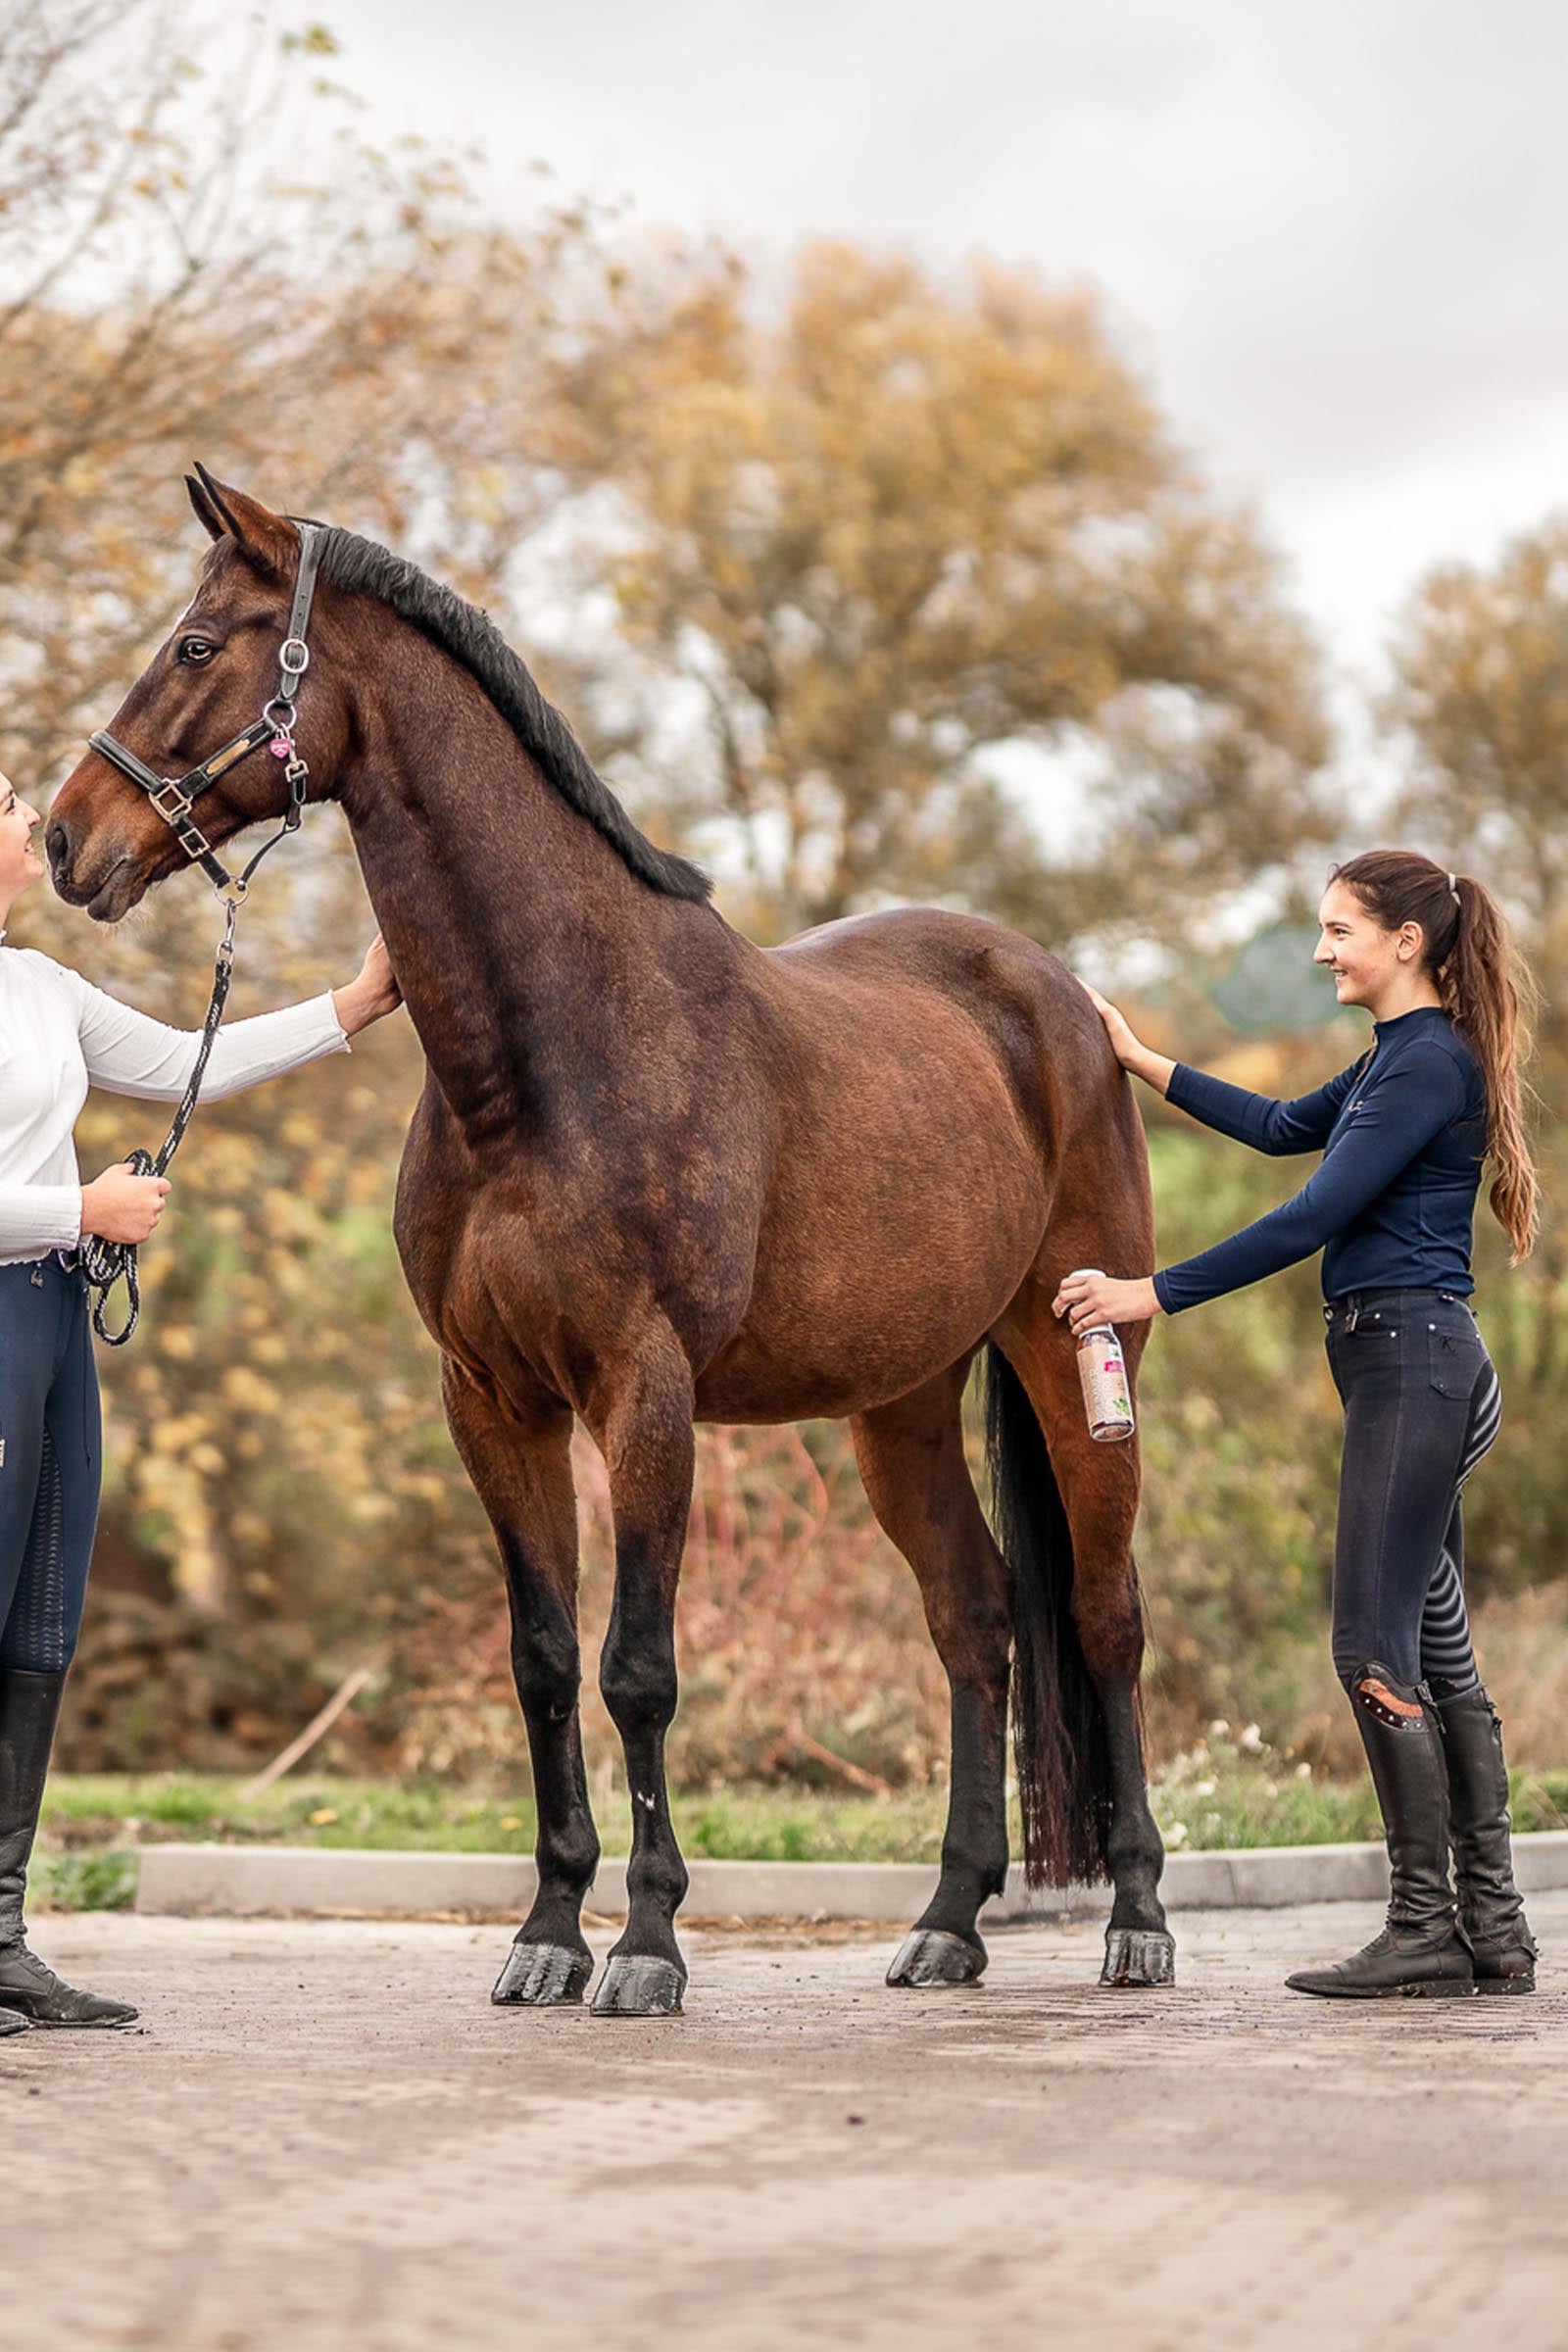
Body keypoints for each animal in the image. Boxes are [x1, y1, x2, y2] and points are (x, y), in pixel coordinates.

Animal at [47, 470, 1173, 2015]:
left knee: (1107, 1615)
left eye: (199, 646)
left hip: (1080, 1350)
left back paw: (1137, 1918)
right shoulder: (489, 1400)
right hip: (899, 1404)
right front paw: (546, 1931)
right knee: (978, 1617)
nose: (62, 840)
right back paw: (948, 1921)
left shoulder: (647, 1389)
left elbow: (638, 1665)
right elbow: (540, 1658)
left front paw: (643, 1946)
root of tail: (1060, 1001)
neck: (549, 1056)